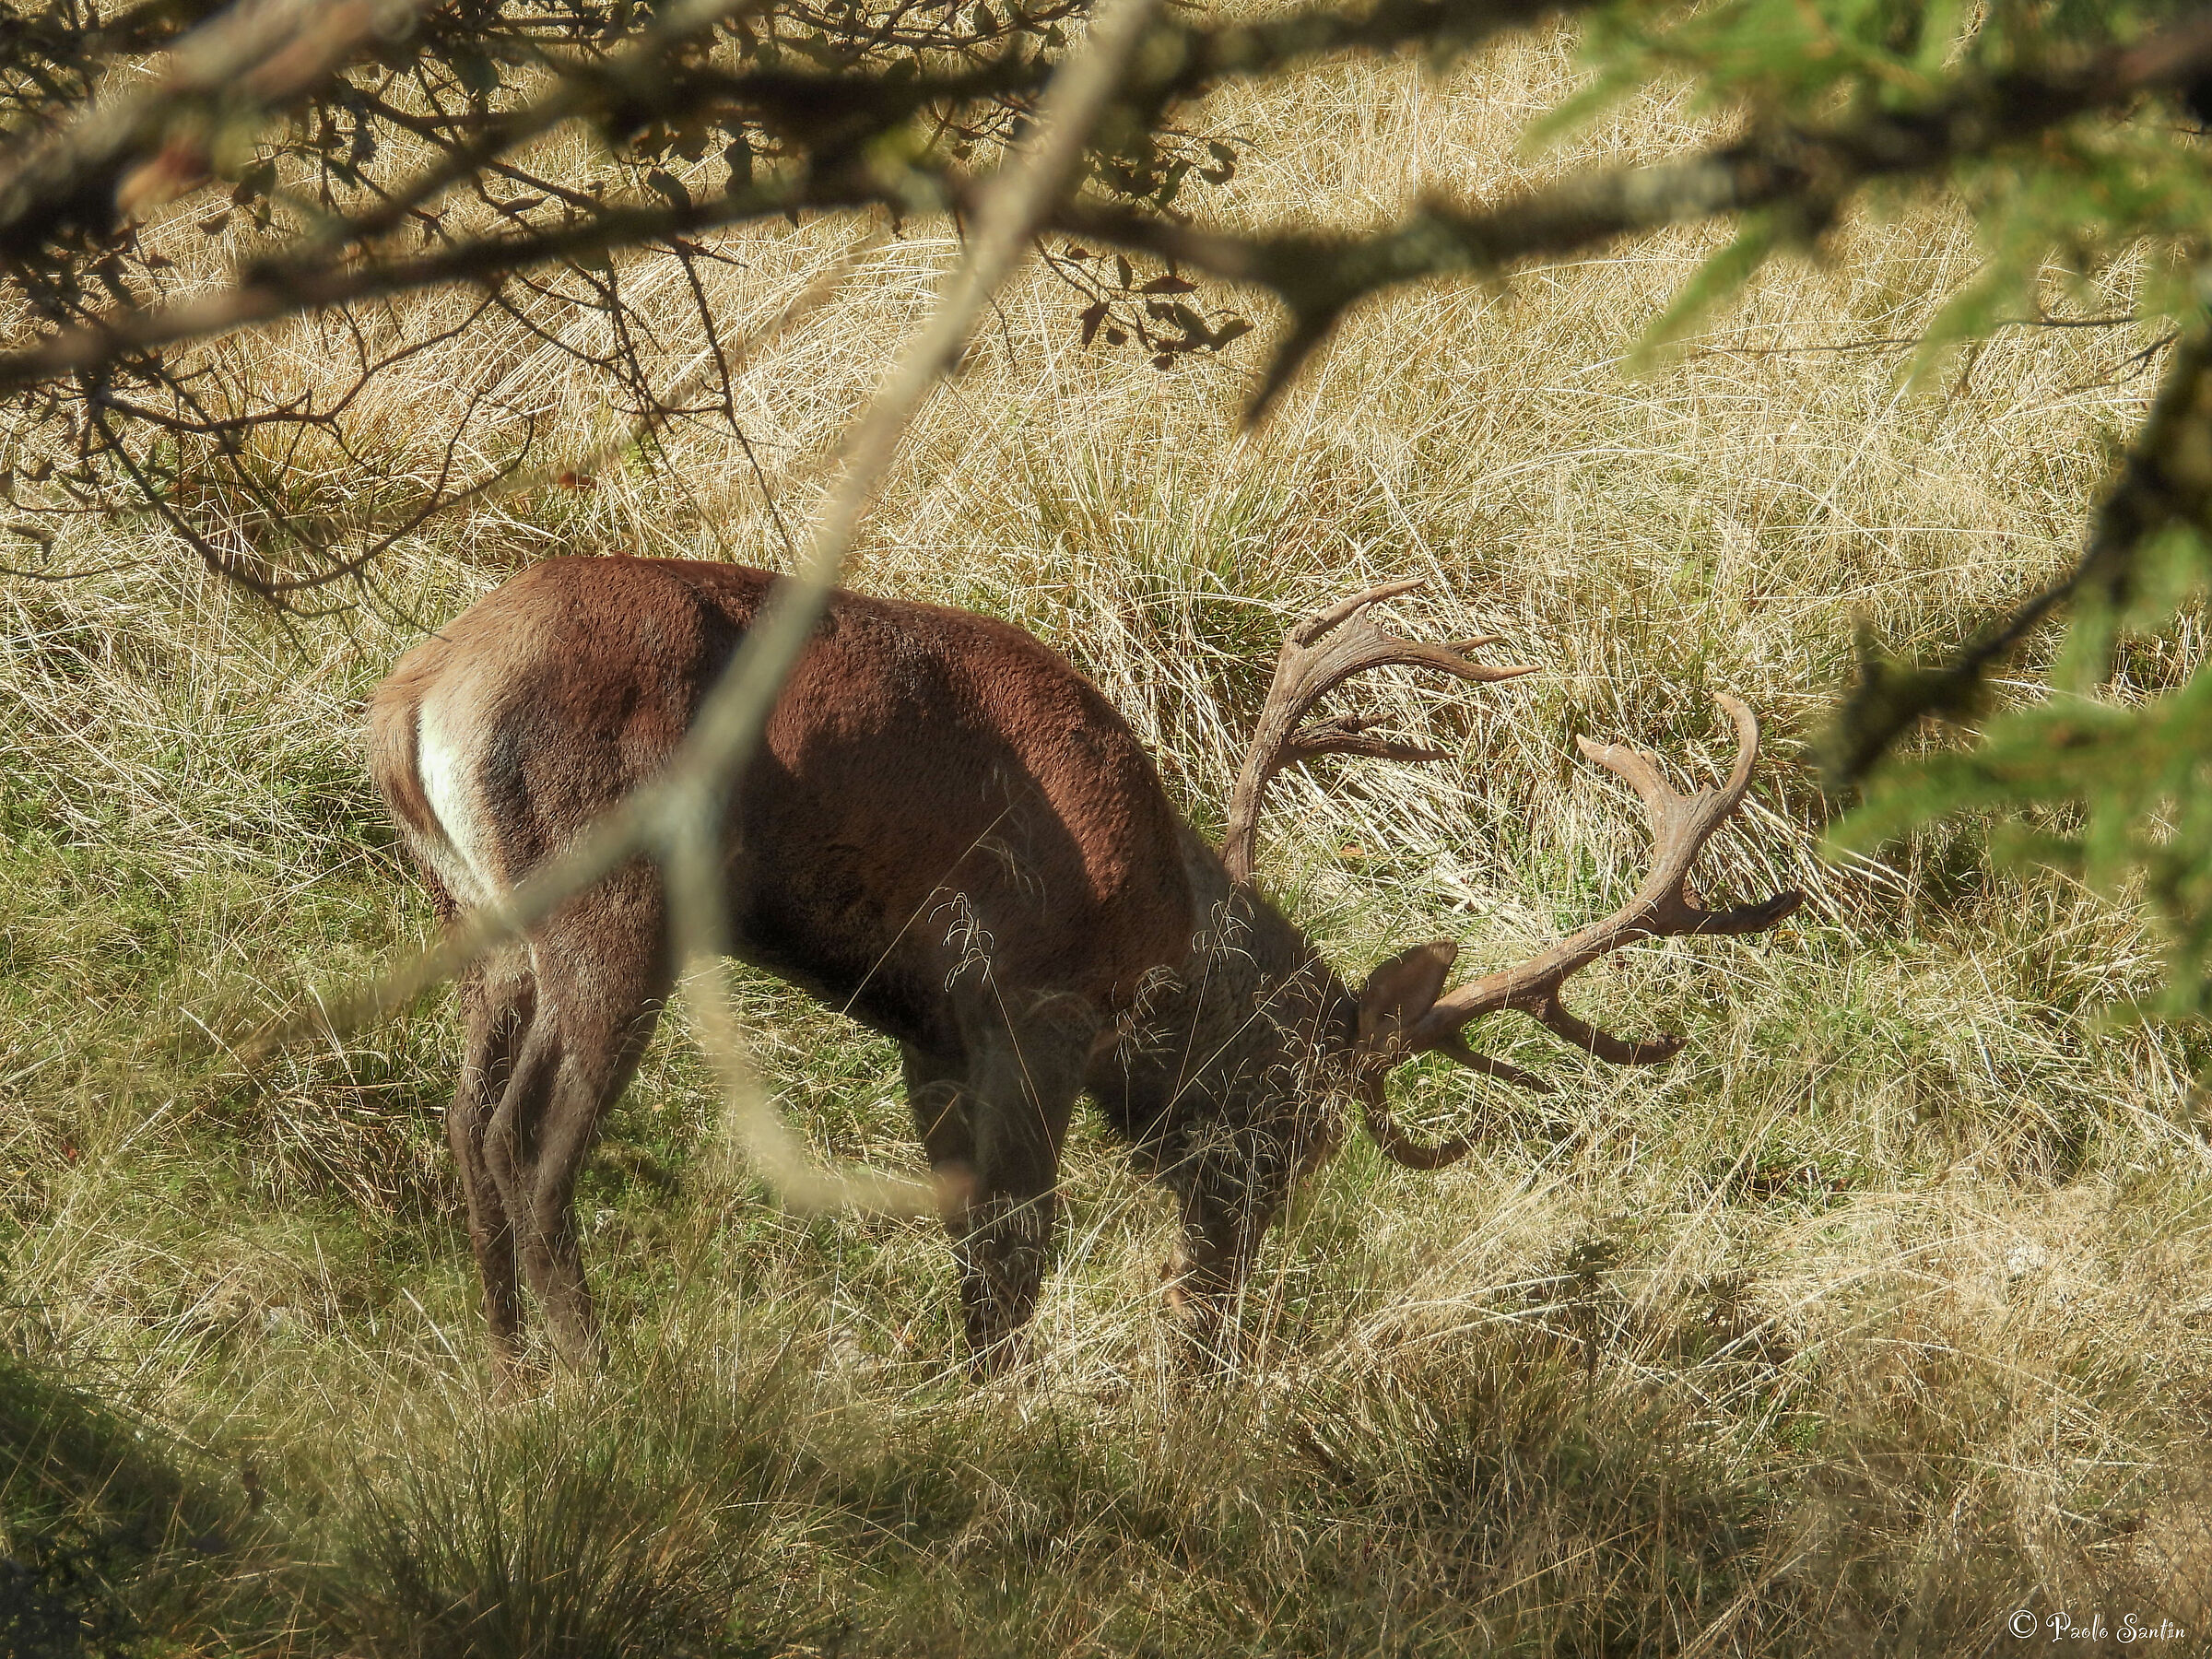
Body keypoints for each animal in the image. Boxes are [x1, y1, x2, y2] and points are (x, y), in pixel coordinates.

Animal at [366, 555, 1800, 1381]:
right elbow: (1019, 1242)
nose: (1212, 1325)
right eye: (1300, 1122)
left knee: (465, 1129)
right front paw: (994, 1414)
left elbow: (970, 1240)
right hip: (613, 901)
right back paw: (598, 1382)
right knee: (531, 1146)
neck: (1160, 933)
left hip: (476, 920)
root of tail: (412, 697)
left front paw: (962, 1391)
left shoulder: (929, 1030)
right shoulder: (1023, 997)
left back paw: (510, 1382)